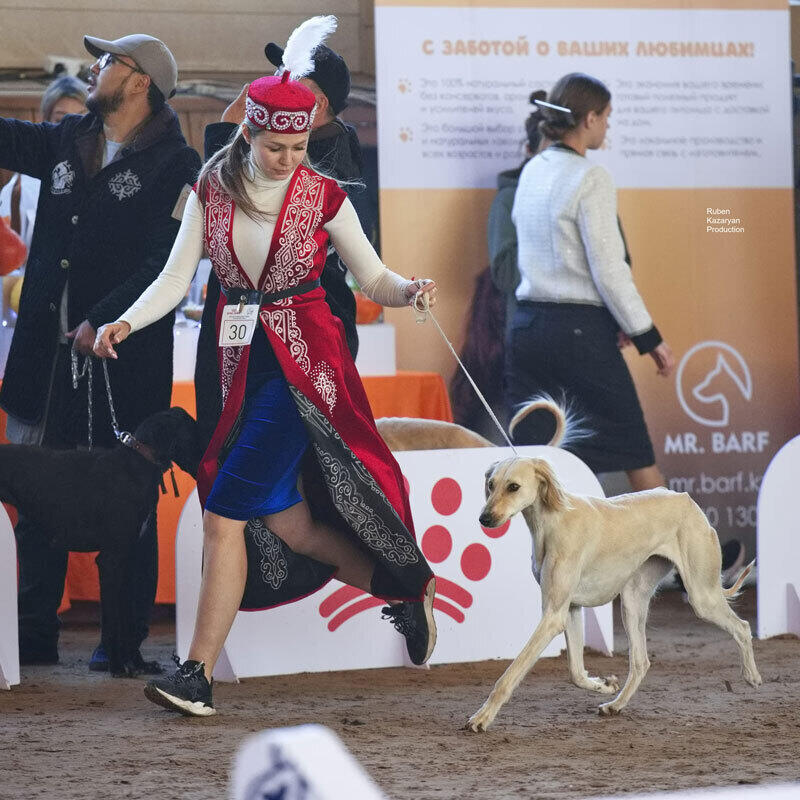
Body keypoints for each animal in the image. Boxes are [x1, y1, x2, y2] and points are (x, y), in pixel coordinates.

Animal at [0, 410, 200, 680]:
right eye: (194, 431)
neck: (137, 463)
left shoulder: (128, 560)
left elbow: (127, 617)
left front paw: (137, 663)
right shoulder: (110, 561)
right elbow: (113, 619)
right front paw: (117, 667)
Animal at [468, 456, 764, 732]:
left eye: (514, 487)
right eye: (491, 484)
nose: (484, 518)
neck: (554, 520)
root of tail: (686, 500)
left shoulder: (553, 615)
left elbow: (510, 674)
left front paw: (482, 717)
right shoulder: (569, 609)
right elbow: (576, 673)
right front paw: (604, 684)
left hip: (702, 597)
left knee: (742, 626)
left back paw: (752, 676)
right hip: (633, 601)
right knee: (641, 662)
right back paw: (615, 704)